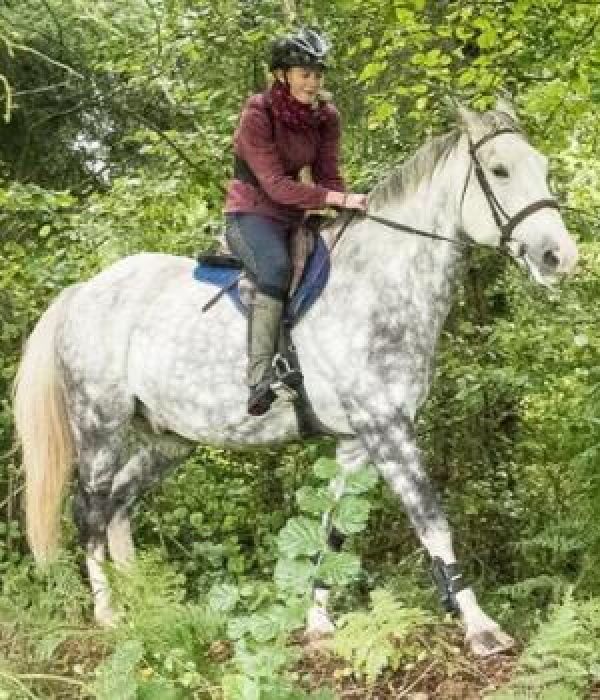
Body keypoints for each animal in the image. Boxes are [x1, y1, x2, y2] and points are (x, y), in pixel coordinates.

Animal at [12, 100, 576, 656]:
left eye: (543, 167)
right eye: (499, 171)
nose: (561, 257)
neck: (376, 287)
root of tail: (83, 291)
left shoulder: (357, 442)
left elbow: (334, 529)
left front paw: (319, 623)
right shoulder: (387, 429)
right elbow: (431, 519)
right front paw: (481, 629)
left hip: (170, 438)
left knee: (120, 505)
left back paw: (152, 606)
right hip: (98, 426)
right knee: (90, 510)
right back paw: (109, 614)